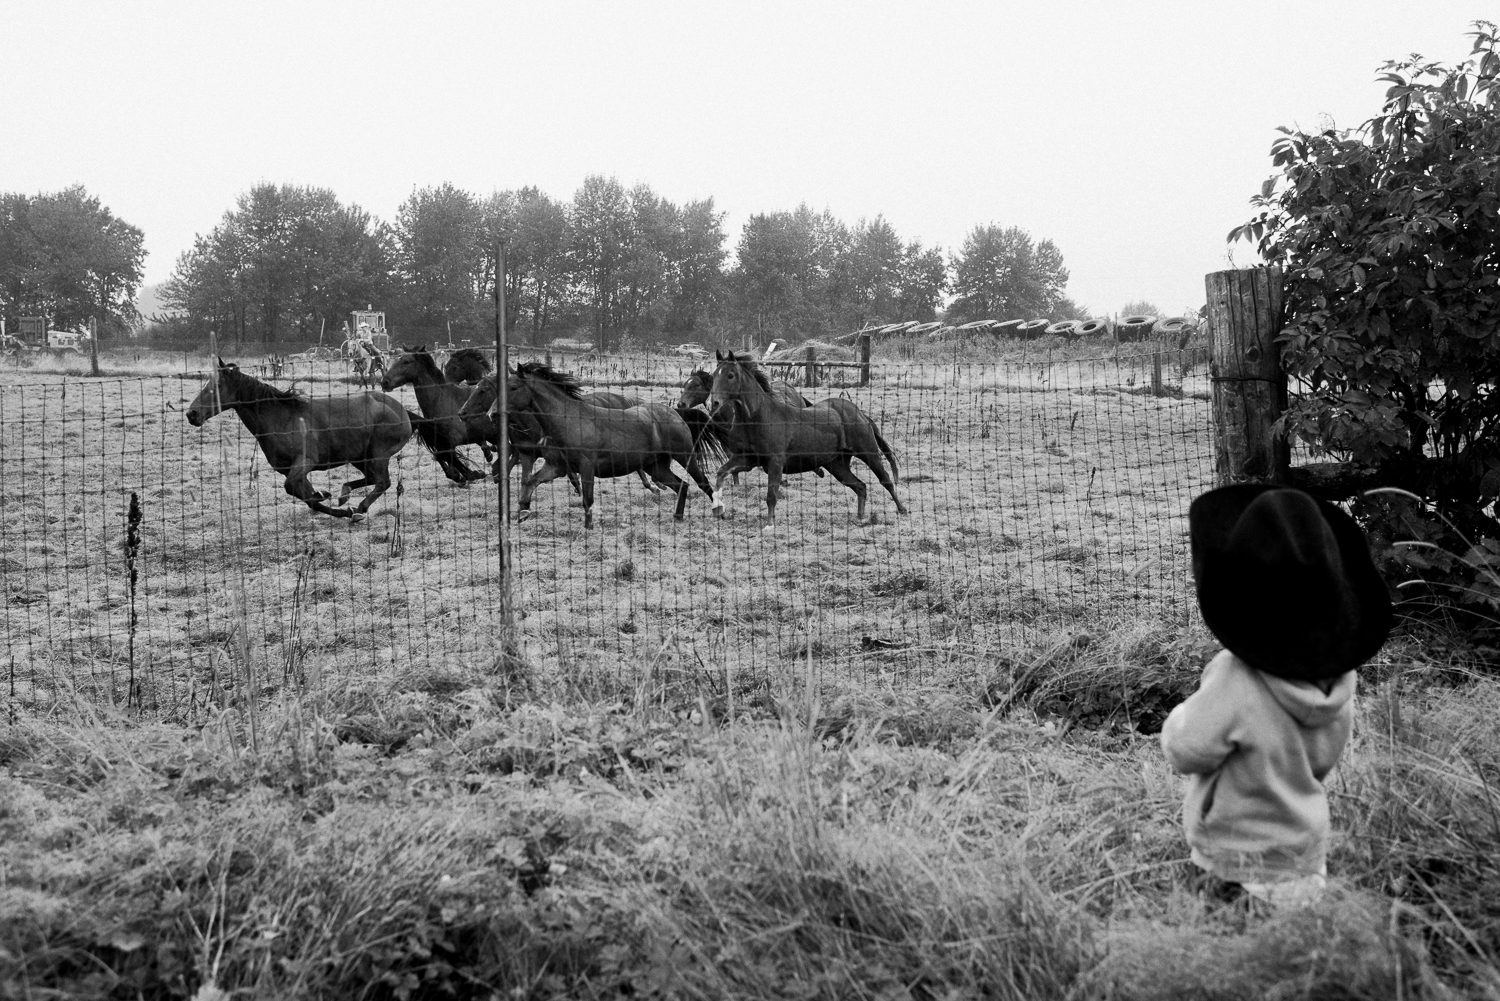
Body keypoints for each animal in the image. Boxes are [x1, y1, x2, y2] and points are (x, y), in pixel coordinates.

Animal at [190, 355, 423, 522]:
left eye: (217, 386)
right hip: (360, 457)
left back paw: (359, 508)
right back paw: (345, 494)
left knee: (383, 482)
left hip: (378, 454)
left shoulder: (305, 462)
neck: (282, 418)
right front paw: (325, 495)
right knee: (374, 479)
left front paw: (341, 508)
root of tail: (403, 411)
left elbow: (294, 489)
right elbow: (306, 496)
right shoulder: (288, 469)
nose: (191, 414)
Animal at [384, 346, 489, 483]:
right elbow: (440, 456)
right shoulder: (441, 441)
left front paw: (471, 474)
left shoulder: (454, 439)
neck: (442, 401)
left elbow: (444, 456)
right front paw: (460, 476)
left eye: (406, 361)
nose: (384, 381)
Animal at [504, 361, 726, 531]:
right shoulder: (557, 467)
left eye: (513, 387)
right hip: (655, 466)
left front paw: (589, 528)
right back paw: (677, 517)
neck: (570, 422)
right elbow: (530, 481)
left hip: (685, 455)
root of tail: (675, 412)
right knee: (682, 485)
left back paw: (719, 511)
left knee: (702, 482)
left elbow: (587, 499)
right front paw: (523, 511)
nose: (497, 410)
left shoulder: (586, 466)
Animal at [708, 348, 906, 528]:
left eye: (730, 375)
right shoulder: (746, 459)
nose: (714, 403)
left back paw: (902, 509)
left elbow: (771, 495)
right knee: (860, 486)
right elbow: (721, 472)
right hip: (837, 464)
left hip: (868, 452)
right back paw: (860, 518)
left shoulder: (775, 462)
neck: (757, 418)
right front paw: (719, 508)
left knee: (885, 479)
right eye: (714, 375)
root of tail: (860, 413)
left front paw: (769, 525)